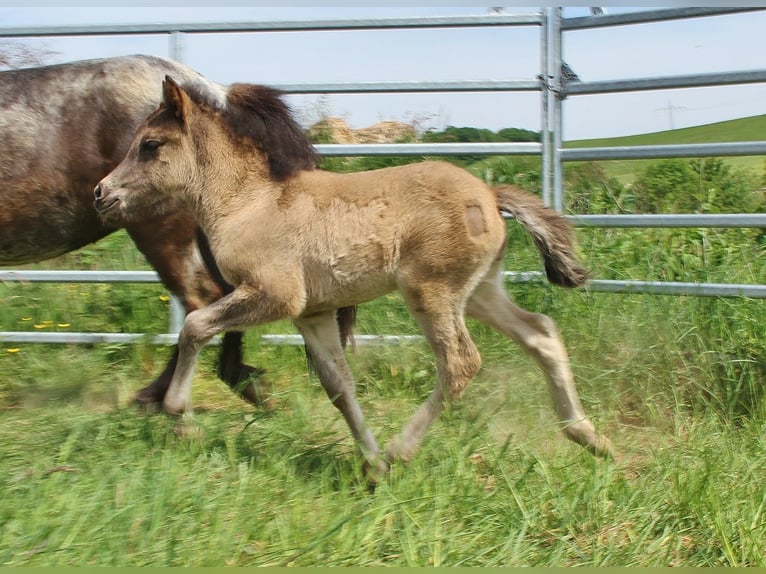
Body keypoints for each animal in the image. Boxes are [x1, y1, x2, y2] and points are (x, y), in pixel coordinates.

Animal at [0, 54, 354, 408]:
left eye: (150, 144)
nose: (100, 193)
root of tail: (214, 90)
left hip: (161, 231)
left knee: (202, 298)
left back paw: (160, 398)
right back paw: (241, 382)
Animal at [94, 76, 616, 480]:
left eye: (150, 145)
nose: (101, 194)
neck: (250, 203)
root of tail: (489, 194)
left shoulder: (274, 295)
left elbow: (195, 325)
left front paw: (177, 412)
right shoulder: (312, 313)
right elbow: (339, 387)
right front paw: (370, 464)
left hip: (433, 291)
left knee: (461, 363)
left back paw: (403, 450)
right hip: (481, 291)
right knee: (541, 333)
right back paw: (590, 437)